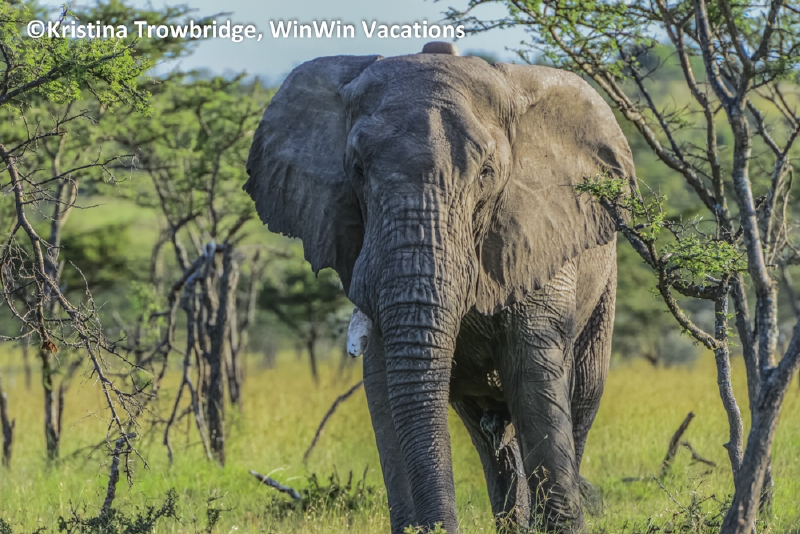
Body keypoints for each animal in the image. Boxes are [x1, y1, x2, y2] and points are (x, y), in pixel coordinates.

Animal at [244, 42, 636, 533]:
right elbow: (384, 387)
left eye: (486, 173)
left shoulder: (538, 234)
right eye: (356, 170)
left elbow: (535, 377)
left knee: (579, 398)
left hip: (605, 289)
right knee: (492, 438)